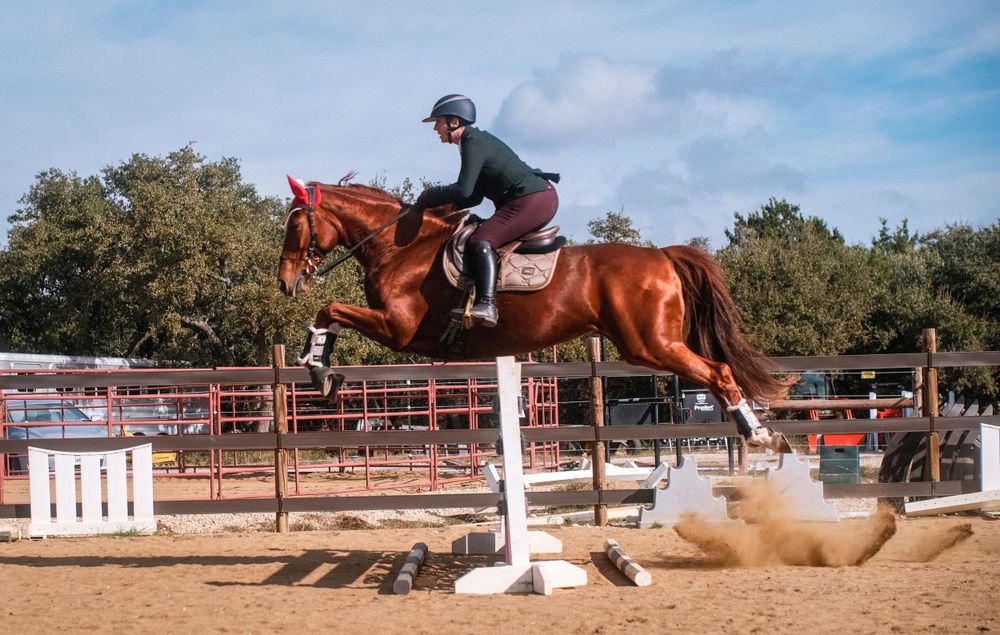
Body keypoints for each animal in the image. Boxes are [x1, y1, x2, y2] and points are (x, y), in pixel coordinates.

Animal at [277, 175, 793, 452]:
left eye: (294, 225)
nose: (286, 282)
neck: (400, 245)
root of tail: (662, 256)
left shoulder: (399, 329)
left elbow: (329, 309)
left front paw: (318, 369)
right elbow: (330, 311)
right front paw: (321, 370)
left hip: (651, 344)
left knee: (719, 372)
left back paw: (760, 435)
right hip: (650, 344)